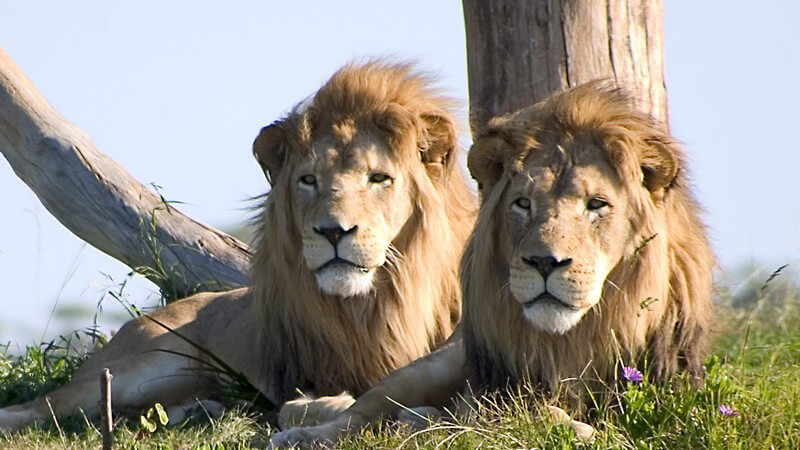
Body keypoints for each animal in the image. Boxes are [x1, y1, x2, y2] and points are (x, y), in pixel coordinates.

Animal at [0, 61, 476, 430]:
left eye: (379, 178)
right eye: (308, 180)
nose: (333, 231)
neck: (377, 302)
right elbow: (305, 407)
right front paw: (331, 405)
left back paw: (200, 410)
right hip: (142, 365)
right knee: (39, 410)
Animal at [272, 81, 716, 446]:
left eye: (596, 204)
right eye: (523, 204)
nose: (543, 261)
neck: (572, 342)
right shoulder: (495, 393)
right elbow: (533, 411)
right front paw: (580, 429)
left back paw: (418, 420)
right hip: (429, 367)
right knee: (350, 413)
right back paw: (305, 434)